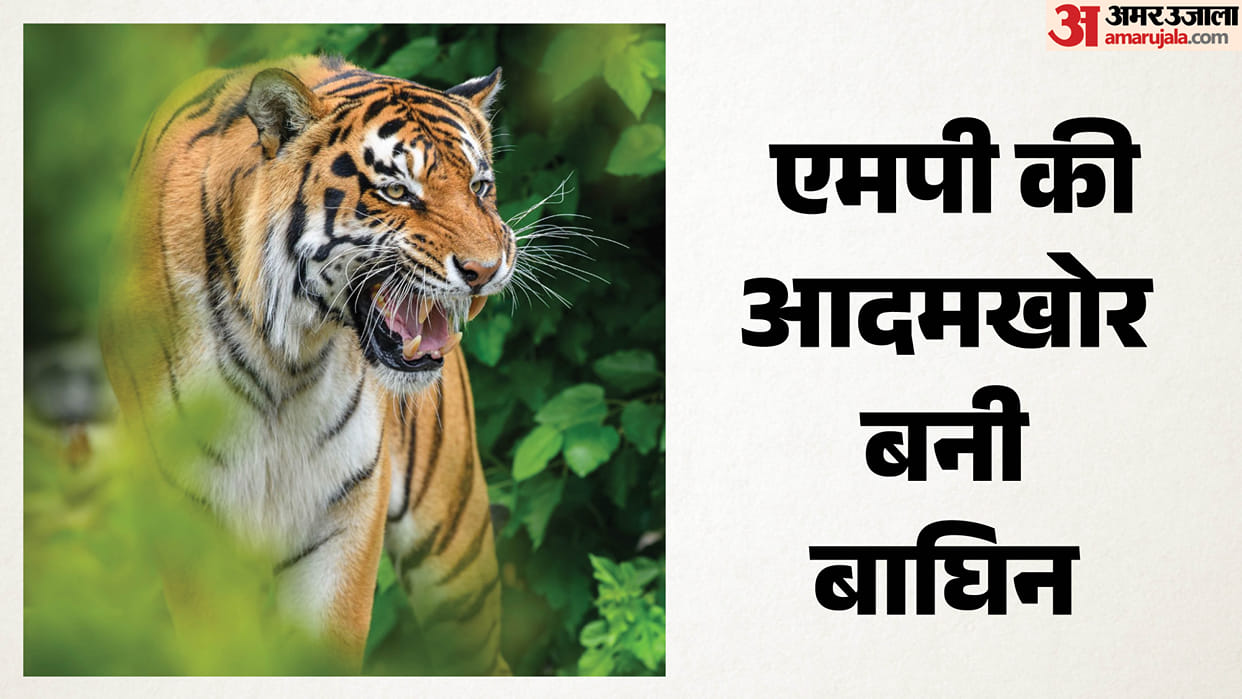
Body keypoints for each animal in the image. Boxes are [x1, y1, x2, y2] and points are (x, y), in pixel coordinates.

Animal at [99, 54, 515, 674]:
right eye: (396, 191)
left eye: (480, 187)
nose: (487, 270)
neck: (286, 359)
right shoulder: (192, 521)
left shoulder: (345, 510)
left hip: (455, 552)